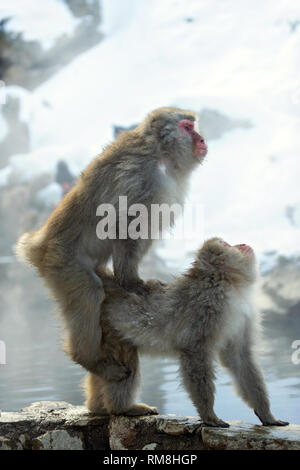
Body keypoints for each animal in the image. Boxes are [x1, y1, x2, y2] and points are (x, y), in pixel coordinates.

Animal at [15, 106, 209, 374]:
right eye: (187, 127)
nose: (201, 139)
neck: (161, 155)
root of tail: (37, 245)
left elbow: (145, 231)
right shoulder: (138, 178)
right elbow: (125, 225)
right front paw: (130, 282)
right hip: (62, 263)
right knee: (89, 292)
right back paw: (90, 360)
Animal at [83, 239, 290, 426]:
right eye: (226, 244)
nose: (242, 244)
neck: (228, 282)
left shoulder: (242, 314)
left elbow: (238, 357)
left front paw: (266, 414)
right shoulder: (208, 306)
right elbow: (194, 350)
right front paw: (209, 415)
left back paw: (97, 407)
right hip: (107, 326)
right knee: (124, 360)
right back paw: (122, 408)